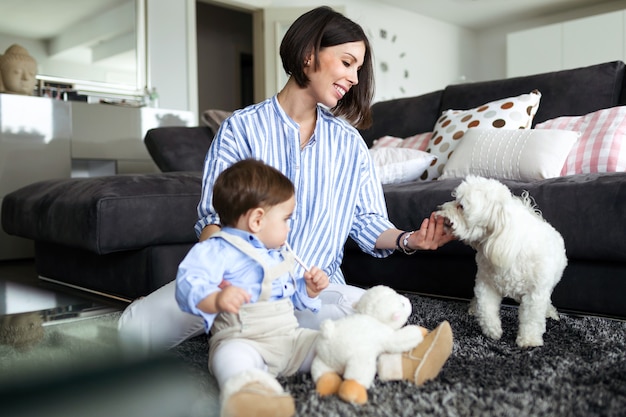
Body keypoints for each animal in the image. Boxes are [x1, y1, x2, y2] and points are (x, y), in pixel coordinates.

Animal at [434, 176, 564, 348]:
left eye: (461, 206)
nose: (440, 207)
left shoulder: (535, 294)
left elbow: (532, 319)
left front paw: (529, 340)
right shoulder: (486, 284)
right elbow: (486, 309)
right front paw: (492, 330)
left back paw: (549, 312)